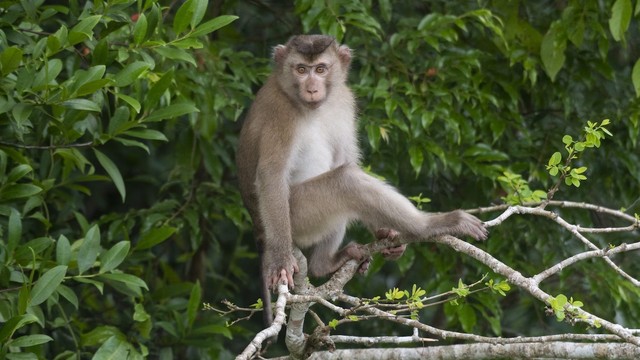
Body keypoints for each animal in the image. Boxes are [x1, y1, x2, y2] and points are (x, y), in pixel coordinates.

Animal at [238, 34, 488, 326]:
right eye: (300, 69)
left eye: (320, 69)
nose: (311, 88)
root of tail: (259, 229)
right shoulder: (280, 113)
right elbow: (272, 175)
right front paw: (279, 261)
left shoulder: (343, 99)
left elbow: (345, 157)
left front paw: (384, 232)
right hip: (296, 216)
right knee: (346, 182)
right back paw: (432, 226)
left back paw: (327, 262)